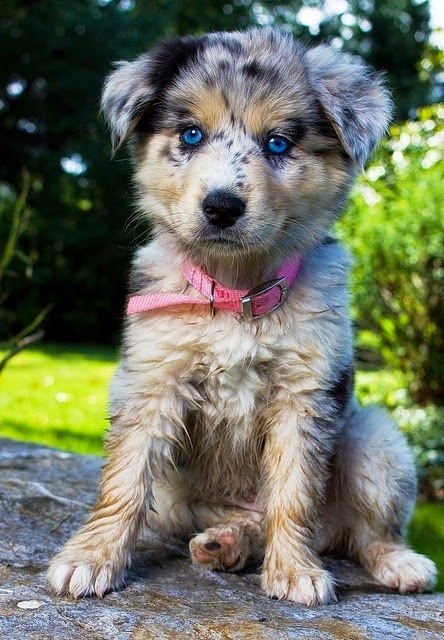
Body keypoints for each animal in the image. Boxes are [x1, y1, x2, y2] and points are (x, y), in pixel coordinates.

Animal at [46, 27, 436, 604]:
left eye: (278, 143)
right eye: (190, 134)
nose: (222, 207)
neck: (237, 293)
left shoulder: (305, 393)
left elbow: (293, 490)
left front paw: (294, 571)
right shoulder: (153, 380)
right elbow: (124, 478)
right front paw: (91, 557)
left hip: (375, 440)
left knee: (365, 533)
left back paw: (398, 563)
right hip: (177, 499)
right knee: (240, 522)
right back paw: (225, 543)